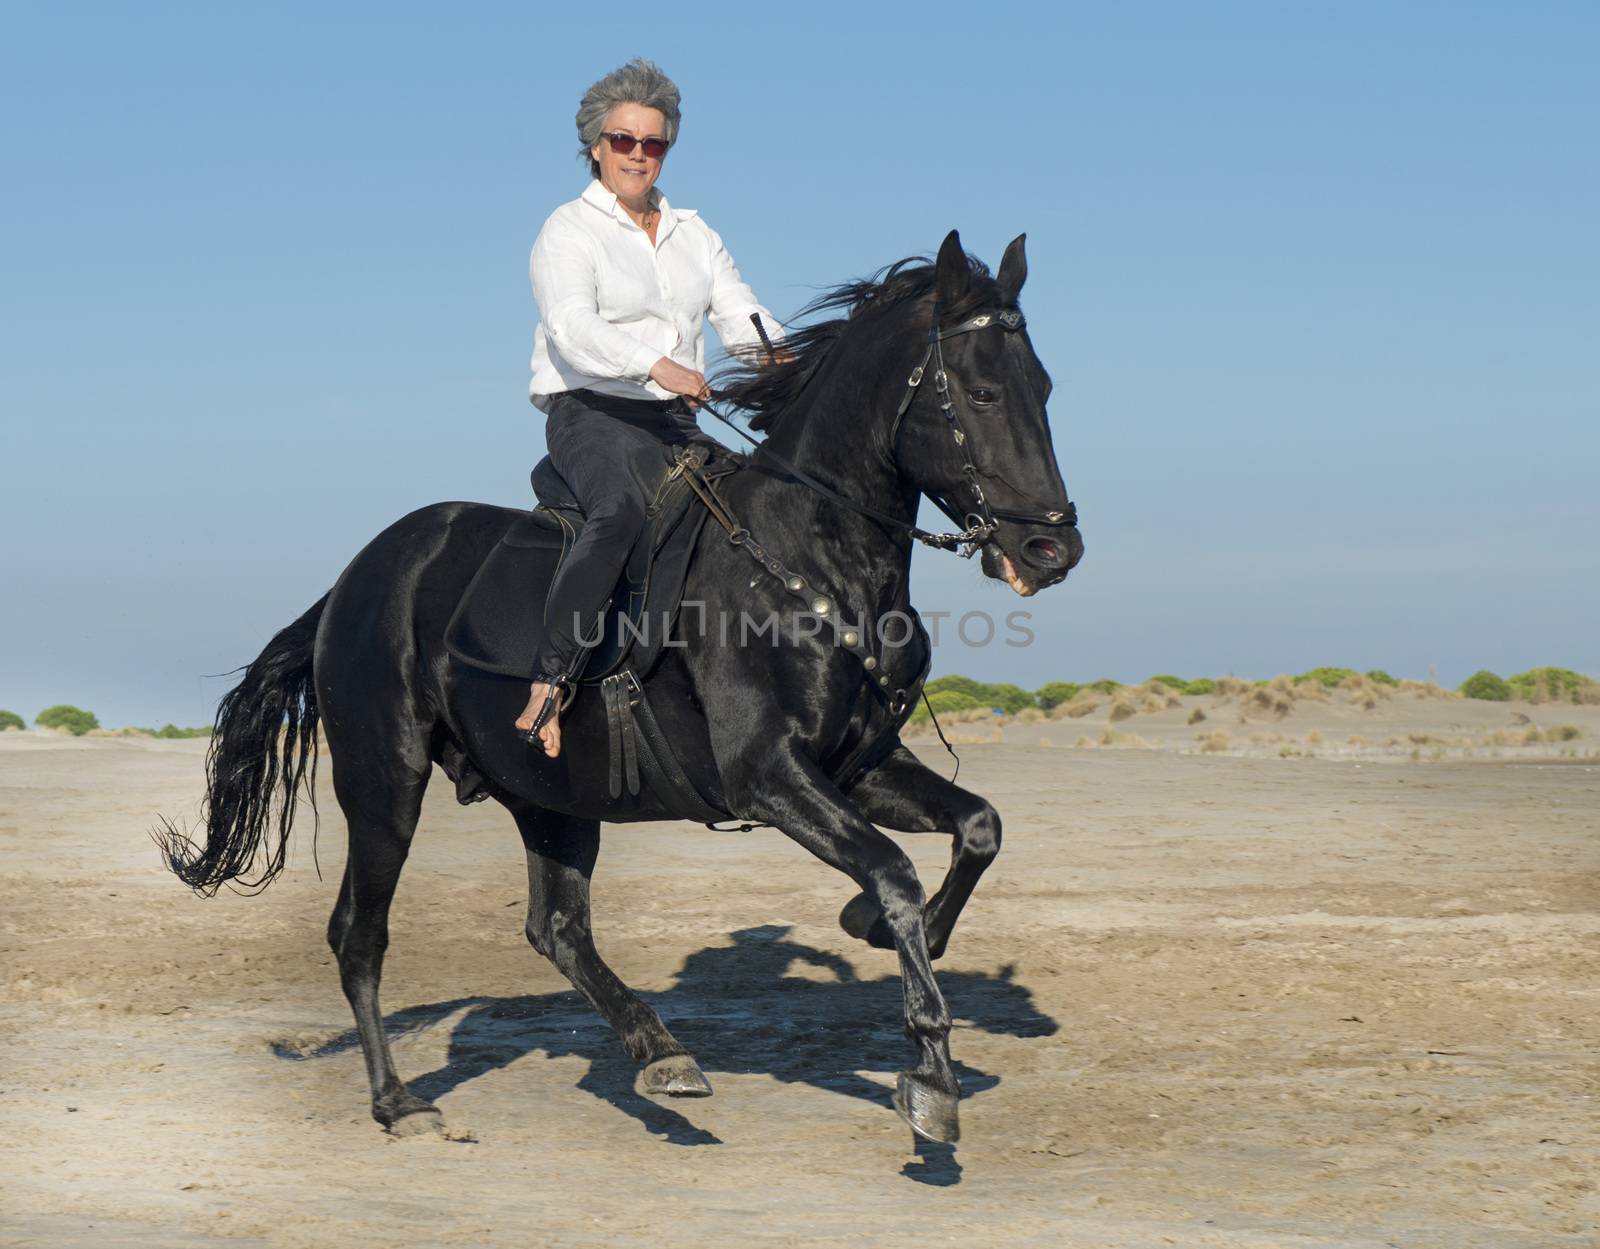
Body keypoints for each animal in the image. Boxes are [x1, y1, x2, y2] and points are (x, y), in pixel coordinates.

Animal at [162, 228, 1081, 1145]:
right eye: (984, 392)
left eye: (1043, 387)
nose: (1052, 550)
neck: (806, 559)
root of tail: (355, 579)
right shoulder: (770, 777)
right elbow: (893, 871)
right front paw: (929, 1070)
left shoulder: (860, 766)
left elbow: (978, 828)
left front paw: (884, 934)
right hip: (384, 781)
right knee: (361, 932)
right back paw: (400, 1101)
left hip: (552, 797)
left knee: (556, 928)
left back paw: (660, 1051)